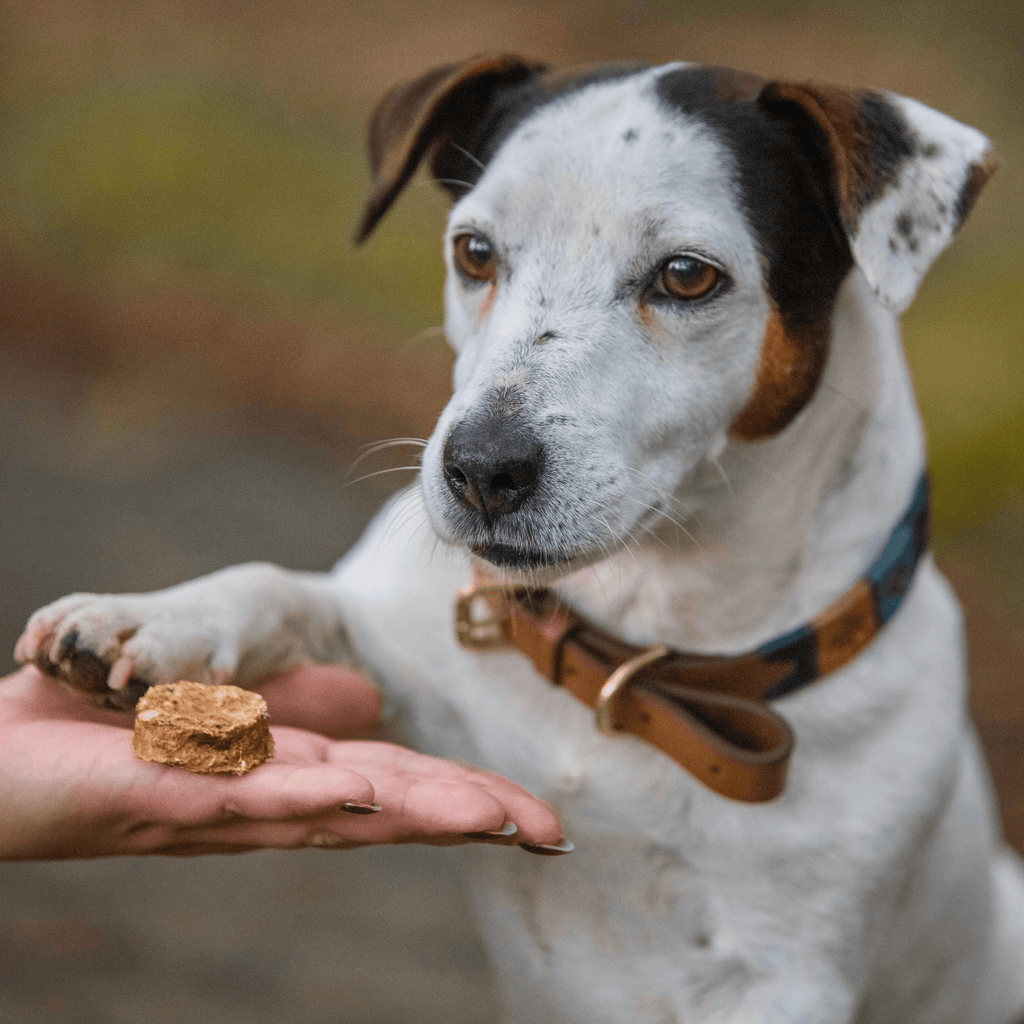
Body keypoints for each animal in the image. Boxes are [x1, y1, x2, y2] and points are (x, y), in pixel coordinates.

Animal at [18, 54, 1024, 1024]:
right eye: (474, 251)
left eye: (687, 276)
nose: (479, 469)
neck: (633, 653)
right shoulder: (397, 653)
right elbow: (278, 588)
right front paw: (150, 621)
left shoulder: (787, 971)